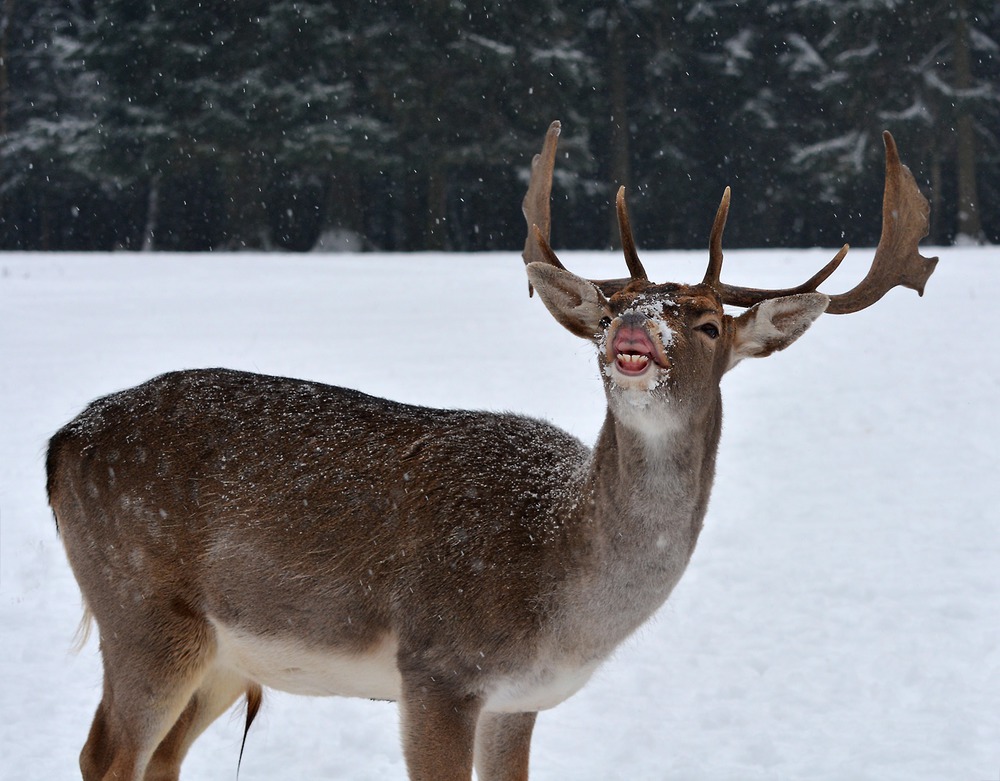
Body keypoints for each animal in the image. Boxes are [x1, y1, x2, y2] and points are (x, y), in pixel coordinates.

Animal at [47, 122, 936, 780]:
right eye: (610, 304)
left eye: (712, 322)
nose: (632, 328)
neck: (562, 586)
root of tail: (61, 444)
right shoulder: (437, 667)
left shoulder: (519, 698)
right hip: (141, 604)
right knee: (104, 753)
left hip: (225, 654)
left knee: (157, 759)